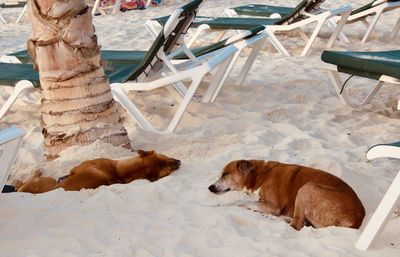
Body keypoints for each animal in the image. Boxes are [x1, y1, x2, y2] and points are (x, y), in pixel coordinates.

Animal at [15, 149, 181, 193]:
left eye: (168, 170)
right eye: (164, 157)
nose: (179, 162)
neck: (118, 172)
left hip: (45, 180)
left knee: (26, 182)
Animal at [209, 159, 366, 229]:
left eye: (225, 174)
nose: (210, 187)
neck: (259, 175)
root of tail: (356, 220)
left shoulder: (273, 206)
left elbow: (239, 201)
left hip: (307, 187)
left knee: (296, 225)